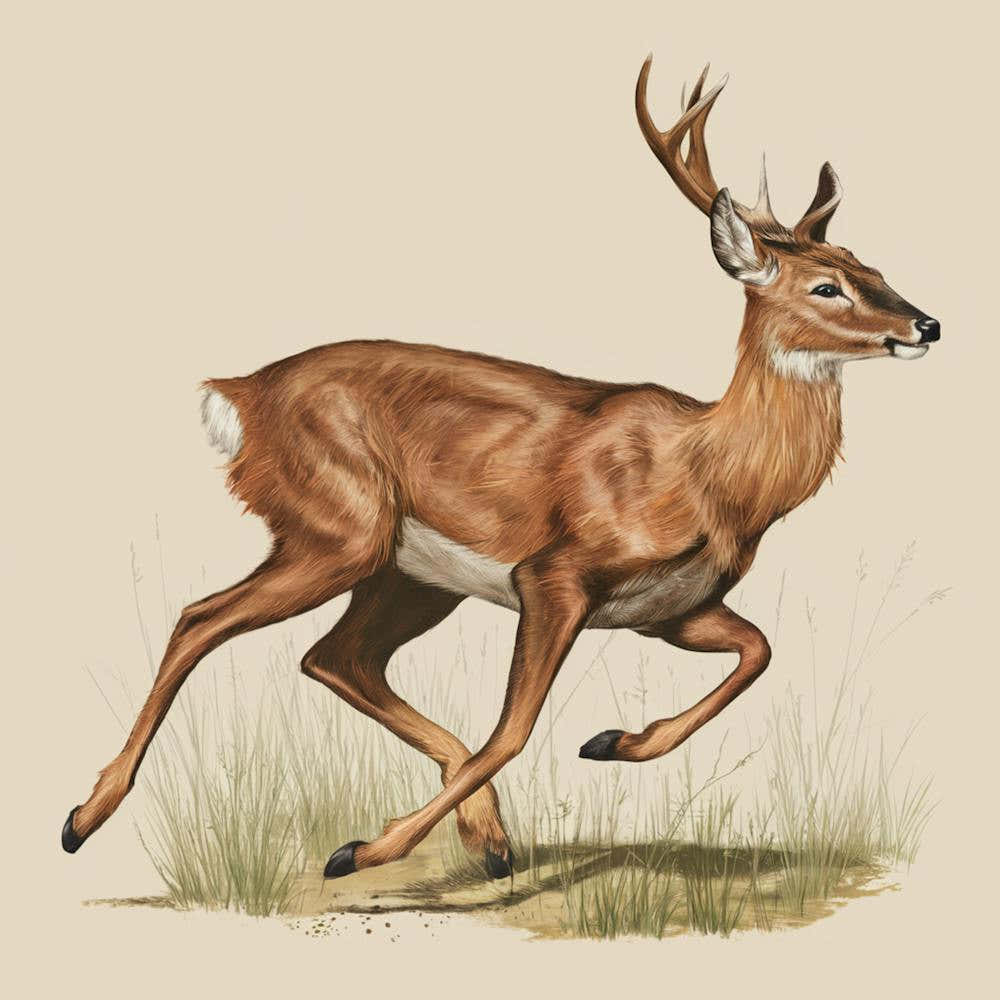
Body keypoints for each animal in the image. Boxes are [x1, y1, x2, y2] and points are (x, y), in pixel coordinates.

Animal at [62, 56, 940, 883]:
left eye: (874, 268)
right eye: (826, 286)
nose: (926, 324)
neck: (709, 475)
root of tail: (241, 394)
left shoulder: (673, 608)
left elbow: (758, 651)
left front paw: (616, 741)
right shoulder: (555, 575)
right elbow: (514, 729)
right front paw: (364, 849)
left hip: (409, 574)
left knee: (334, 657)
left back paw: (488, 837)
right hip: (340, 526)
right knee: (202, 618)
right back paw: (83, 817)